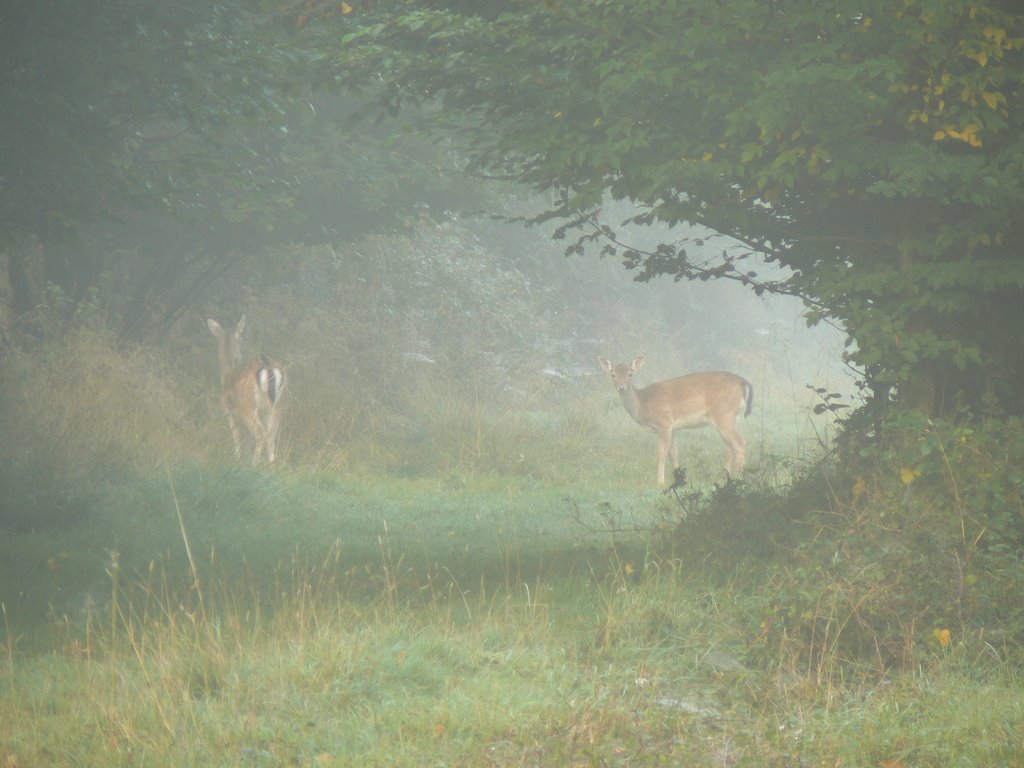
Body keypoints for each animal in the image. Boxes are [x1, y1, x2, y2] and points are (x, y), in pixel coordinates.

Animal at [207, 317, 286, 466]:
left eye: (241, 338)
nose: (238, 356)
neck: (227, 373)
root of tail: (267, 365)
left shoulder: (228, 410)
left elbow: (236, 434)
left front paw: (237, 458)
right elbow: (248, 438)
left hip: (247, 405)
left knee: (260, 434)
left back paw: (254, 464)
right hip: (277, 405)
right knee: (270, 435)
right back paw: (271, 465)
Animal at [598, 356, 753, 483]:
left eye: (630, 374)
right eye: (613, 375)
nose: (622, 387)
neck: (644, 404)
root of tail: (744, 382)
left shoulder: (664, 422)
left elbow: (662, 452)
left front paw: (660, 482)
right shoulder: (673, 428)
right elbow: (673, 453)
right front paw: (678, 479)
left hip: (725, 415)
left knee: (740, 443)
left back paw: (740, 476)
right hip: (722, 419)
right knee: (730, 446)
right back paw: (725, 476)